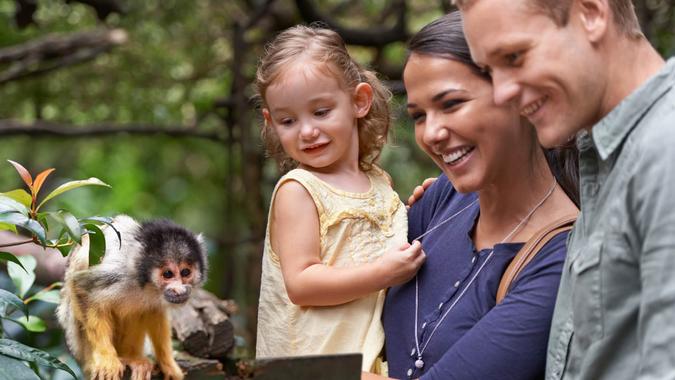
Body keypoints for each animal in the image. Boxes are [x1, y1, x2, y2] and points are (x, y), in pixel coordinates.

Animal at [57, 215, 207, 380]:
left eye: (186, 272)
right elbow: (81, 287)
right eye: (168, 274)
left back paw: (131, 358)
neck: (144, 283)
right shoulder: (118, 273)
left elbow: (155, 311)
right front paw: (106, 359)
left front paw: (168, 363)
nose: (179, 289)